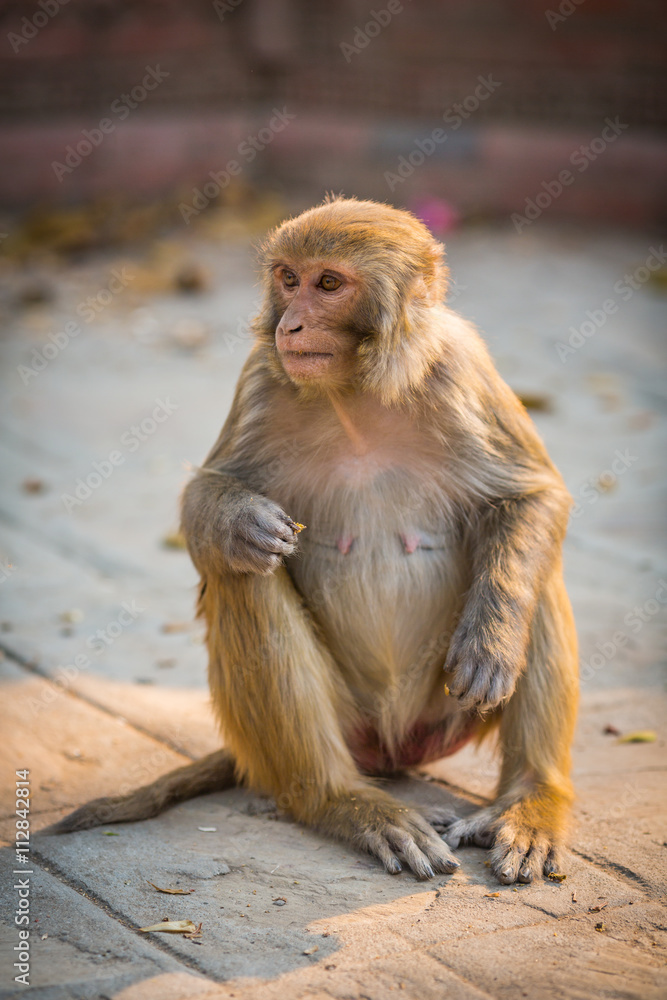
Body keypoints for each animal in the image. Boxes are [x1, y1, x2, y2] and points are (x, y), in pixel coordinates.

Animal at [51, 196, 578, 885]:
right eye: (288, 278)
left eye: (329, 284)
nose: (292, 325)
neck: (359, 392)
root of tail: (391, 748)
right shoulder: (259, 377)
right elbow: (207, 497)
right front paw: (240, 522)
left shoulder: (464, 367)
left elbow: (532, 496)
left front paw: (492, 639)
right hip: (348, 726)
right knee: (243, 578)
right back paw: (339, 800)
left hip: (440, 716)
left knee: (535, 576)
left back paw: (532, 799)